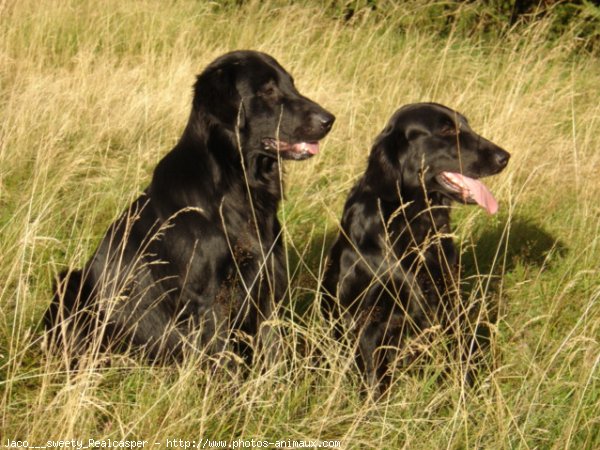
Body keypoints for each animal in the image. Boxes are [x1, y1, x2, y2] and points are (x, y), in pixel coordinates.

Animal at [45, 51, 338, 364]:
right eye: (268, 91)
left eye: (291, 84)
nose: (329, 120)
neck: (236, 188)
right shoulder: (207, 297)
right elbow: (224, 360)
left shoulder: (266, 283)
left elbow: (272, 349)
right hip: (70, 284)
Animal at [322, 102, 508, 390]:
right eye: (445, 129)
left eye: (466, 124)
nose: (504, 157)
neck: (413, 222)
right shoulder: (367, 320)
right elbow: (374, 379)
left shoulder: (447, 301)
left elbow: (462, 357)